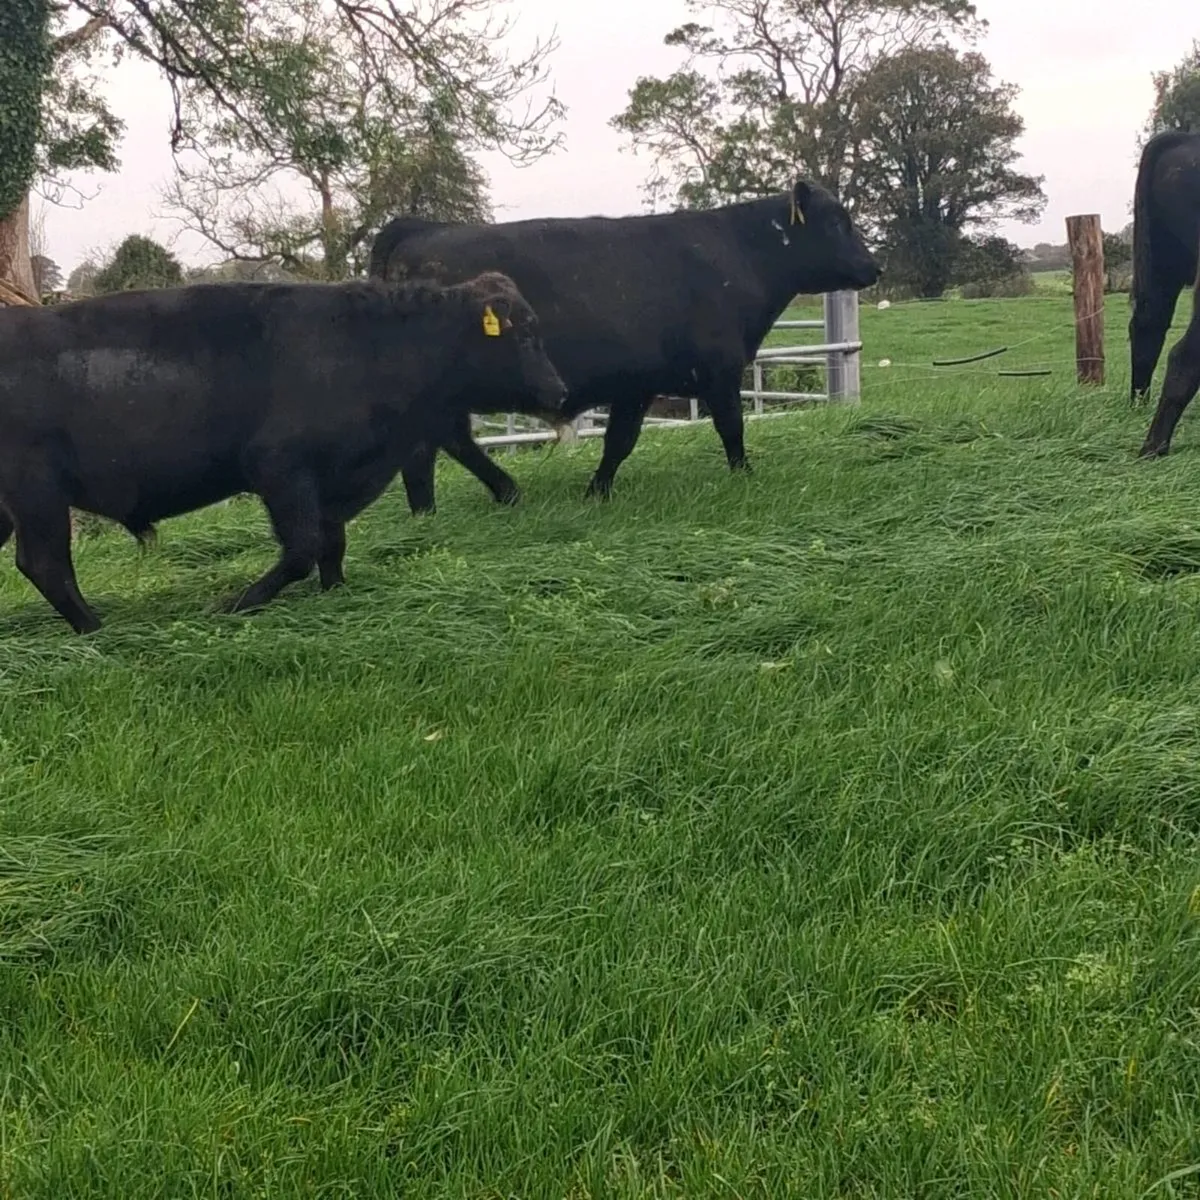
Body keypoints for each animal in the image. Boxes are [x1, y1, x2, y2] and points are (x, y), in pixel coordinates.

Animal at [0, 271, 567, 633]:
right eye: (525, 333)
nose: (559, 390)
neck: (374, 344)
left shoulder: (333, 483)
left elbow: (331, 545)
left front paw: (335, 593)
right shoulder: (282, 471)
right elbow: (302, 549)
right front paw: (234, 604)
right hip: (37, 494)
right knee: (45, 564)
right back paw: (97, 629)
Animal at [368, 179, 880, 511]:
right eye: (838, 224)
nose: (874, 268)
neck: (738, 254)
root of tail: (422, 227)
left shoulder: (637, 385)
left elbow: (619, 441)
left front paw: (598, 491)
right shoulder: (719, 368)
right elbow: (732, 427)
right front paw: (744, 476)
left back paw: (432, 511)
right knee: (444, 440)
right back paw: (495, 492)